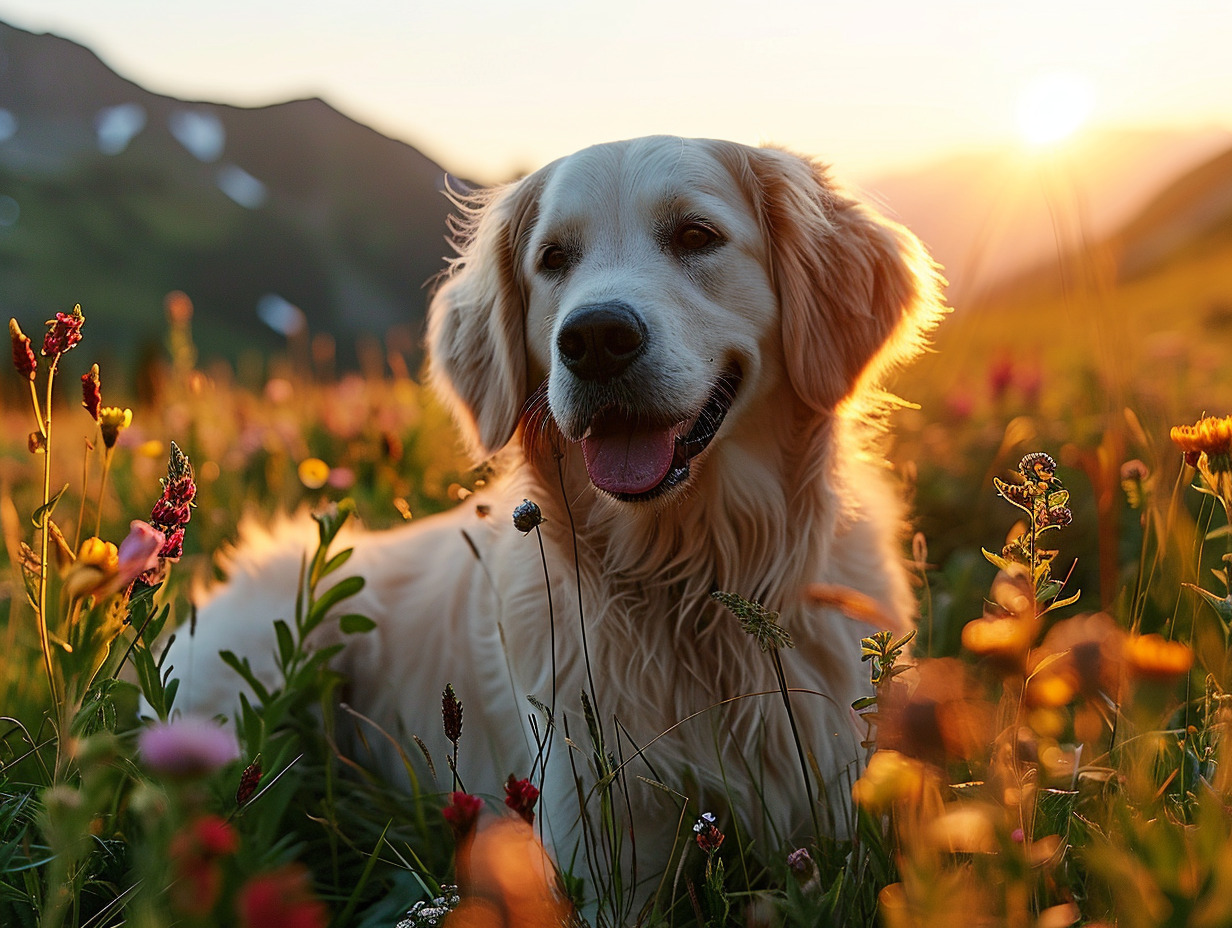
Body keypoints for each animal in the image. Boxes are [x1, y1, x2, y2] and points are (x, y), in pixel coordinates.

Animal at [171, 133, 941, 907]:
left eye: (697, 236)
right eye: (553, 259)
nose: (596, 337)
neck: (690, 583)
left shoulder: (841, 811)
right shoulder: (598, 848)